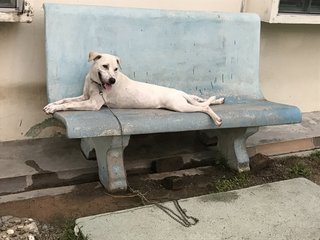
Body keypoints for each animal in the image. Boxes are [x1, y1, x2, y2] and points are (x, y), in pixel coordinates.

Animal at [43, 52, 224, 125]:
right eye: (105, 66)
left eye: (116, 69)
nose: (112, 80)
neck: (95, 82)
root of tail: (177, 92)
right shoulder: (84, 97)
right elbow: (65, 100)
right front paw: (51, 105)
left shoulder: (92, 104)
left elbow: (69, 104)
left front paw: (54, 109)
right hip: (184, 101)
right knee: (200, 100)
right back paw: (218, 100)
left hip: (179, 106)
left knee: (204, 107)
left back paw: (216, 118)